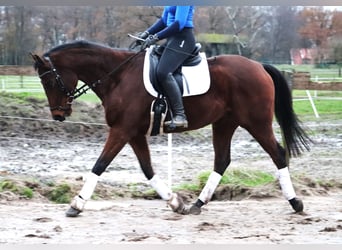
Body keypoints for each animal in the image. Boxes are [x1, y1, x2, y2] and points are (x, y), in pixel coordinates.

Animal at [30, 40, 312, 217]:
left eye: (49, 82)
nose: (58, 115)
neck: (117, 77)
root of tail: (258, 65)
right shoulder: (133, 133)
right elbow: (147, 169)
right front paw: (175, 202)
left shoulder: (121, 130)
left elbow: (99, 165)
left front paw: (76, 205)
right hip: (224, 123)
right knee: (222, 161)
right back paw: (197, 204)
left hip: (256, 122)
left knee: (278, 154)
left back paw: (295, 202)